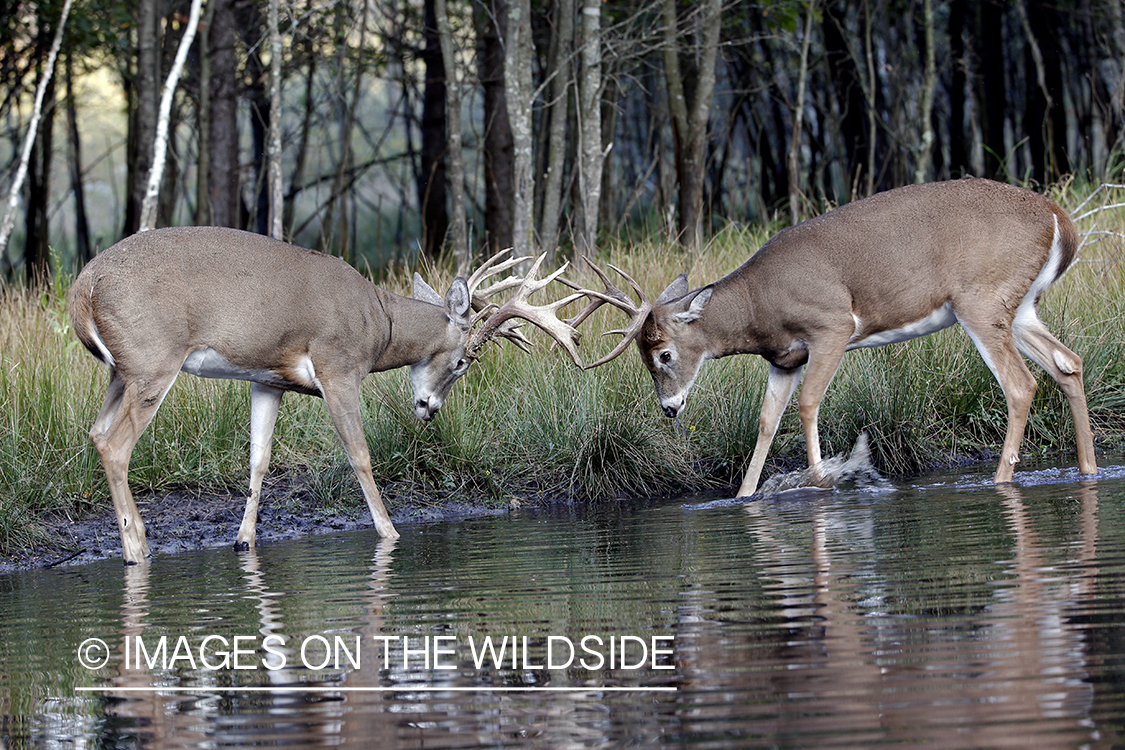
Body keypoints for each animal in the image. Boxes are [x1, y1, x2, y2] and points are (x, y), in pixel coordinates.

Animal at [69, 227, 580, 562]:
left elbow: (259, 459)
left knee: (95, 432)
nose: (429, 409)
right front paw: (390, 532)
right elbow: (360, 454)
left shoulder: (268, 378)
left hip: (122, 372)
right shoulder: (339, 366)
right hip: (154, 360)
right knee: (115, 443)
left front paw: (244, 540)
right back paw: (137, 549)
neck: (380, 326)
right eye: (462, 363)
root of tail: (85, 284)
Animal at [571, 178, 1098, 494]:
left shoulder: (832, 325)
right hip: (1020, 306)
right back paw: (1088, 469)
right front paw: (744, 496)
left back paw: (1000, 480)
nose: (669, 408)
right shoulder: (784, 358)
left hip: (981, 300)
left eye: (662, 354)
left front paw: (822, 481)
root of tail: (1059, 218)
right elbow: (766, 421)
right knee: (1068, 362)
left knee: (1021, 384)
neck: (759, 307)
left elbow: (807, 405)